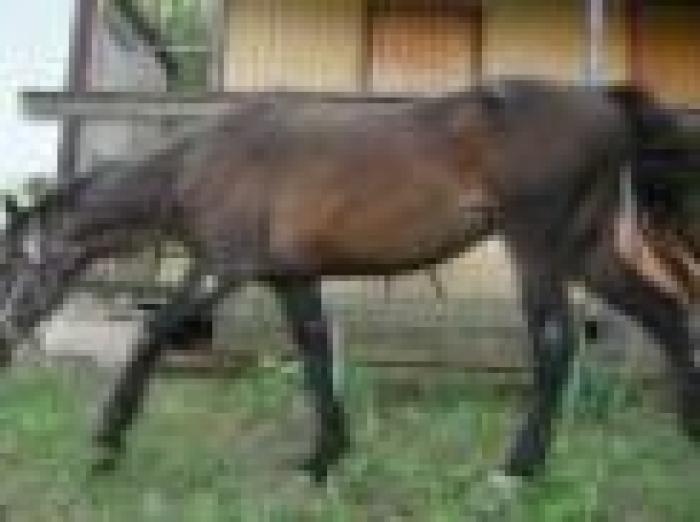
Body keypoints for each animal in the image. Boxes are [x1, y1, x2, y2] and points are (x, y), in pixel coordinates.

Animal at [0, 79, 696, 484]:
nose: (5, 343)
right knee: (666, 313)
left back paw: (516, 472)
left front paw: (105, 446)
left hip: (538, 250)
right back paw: (688, 432)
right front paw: (324, 457)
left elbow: (152, 335)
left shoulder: (222, 269)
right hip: (587, 252)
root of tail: (606, 102)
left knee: (555, 346)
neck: (202, 160)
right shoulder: (292, 278)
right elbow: (313, 355)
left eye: (13, 265)